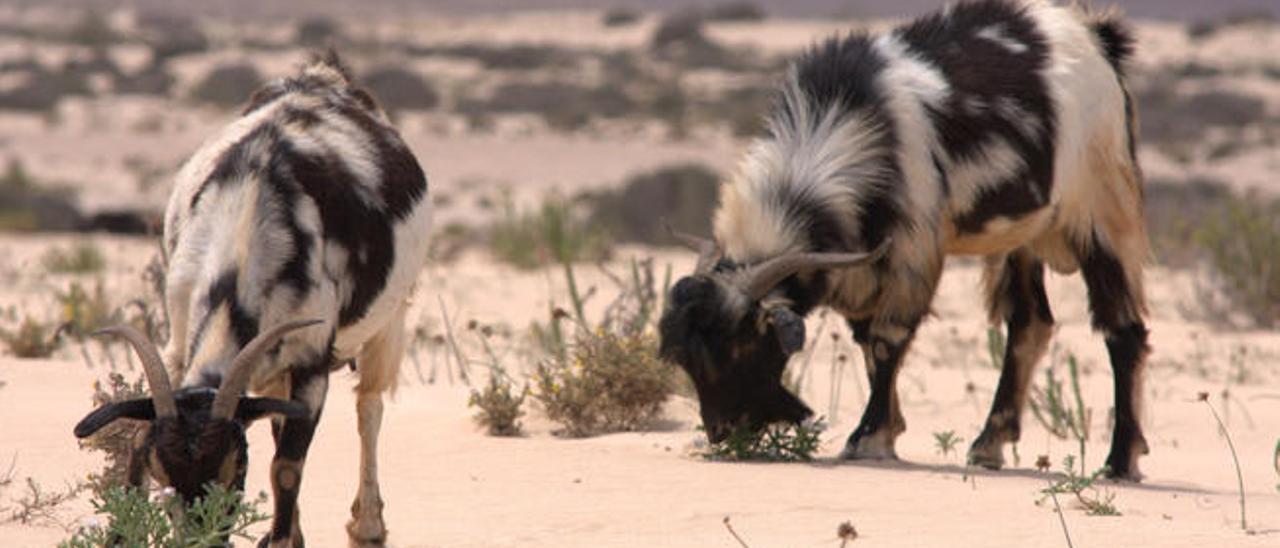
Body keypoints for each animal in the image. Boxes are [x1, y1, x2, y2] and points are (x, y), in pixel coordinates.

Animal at [74, 50, 430, 542]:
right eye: (165, 479)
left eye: (234, 473)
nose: (201, 539)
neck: (249, 214)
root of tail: (324, 75)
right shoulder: (180, 339)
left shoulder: (310, 363)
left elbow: (286, 467)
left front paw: (282, 540)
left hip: (388, 321)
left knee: (369, 407)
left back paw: (368, 526)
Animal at [660, 0, 1152, 478]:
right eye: (687, 359)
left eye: (741, 345)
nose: (723, 431)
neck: (853, 123)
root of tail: (1097, 39)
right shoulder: (862, 264)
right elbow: (865, 342)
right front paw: (888, 429)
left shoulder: (912, 251)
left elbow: (886, 340)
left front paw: (869, 437)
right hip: (1021, 238)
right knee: (1030, 324)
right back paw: (989, 444)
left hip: (1102, 211)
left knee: (1122, 331)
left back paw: (1119, 461)